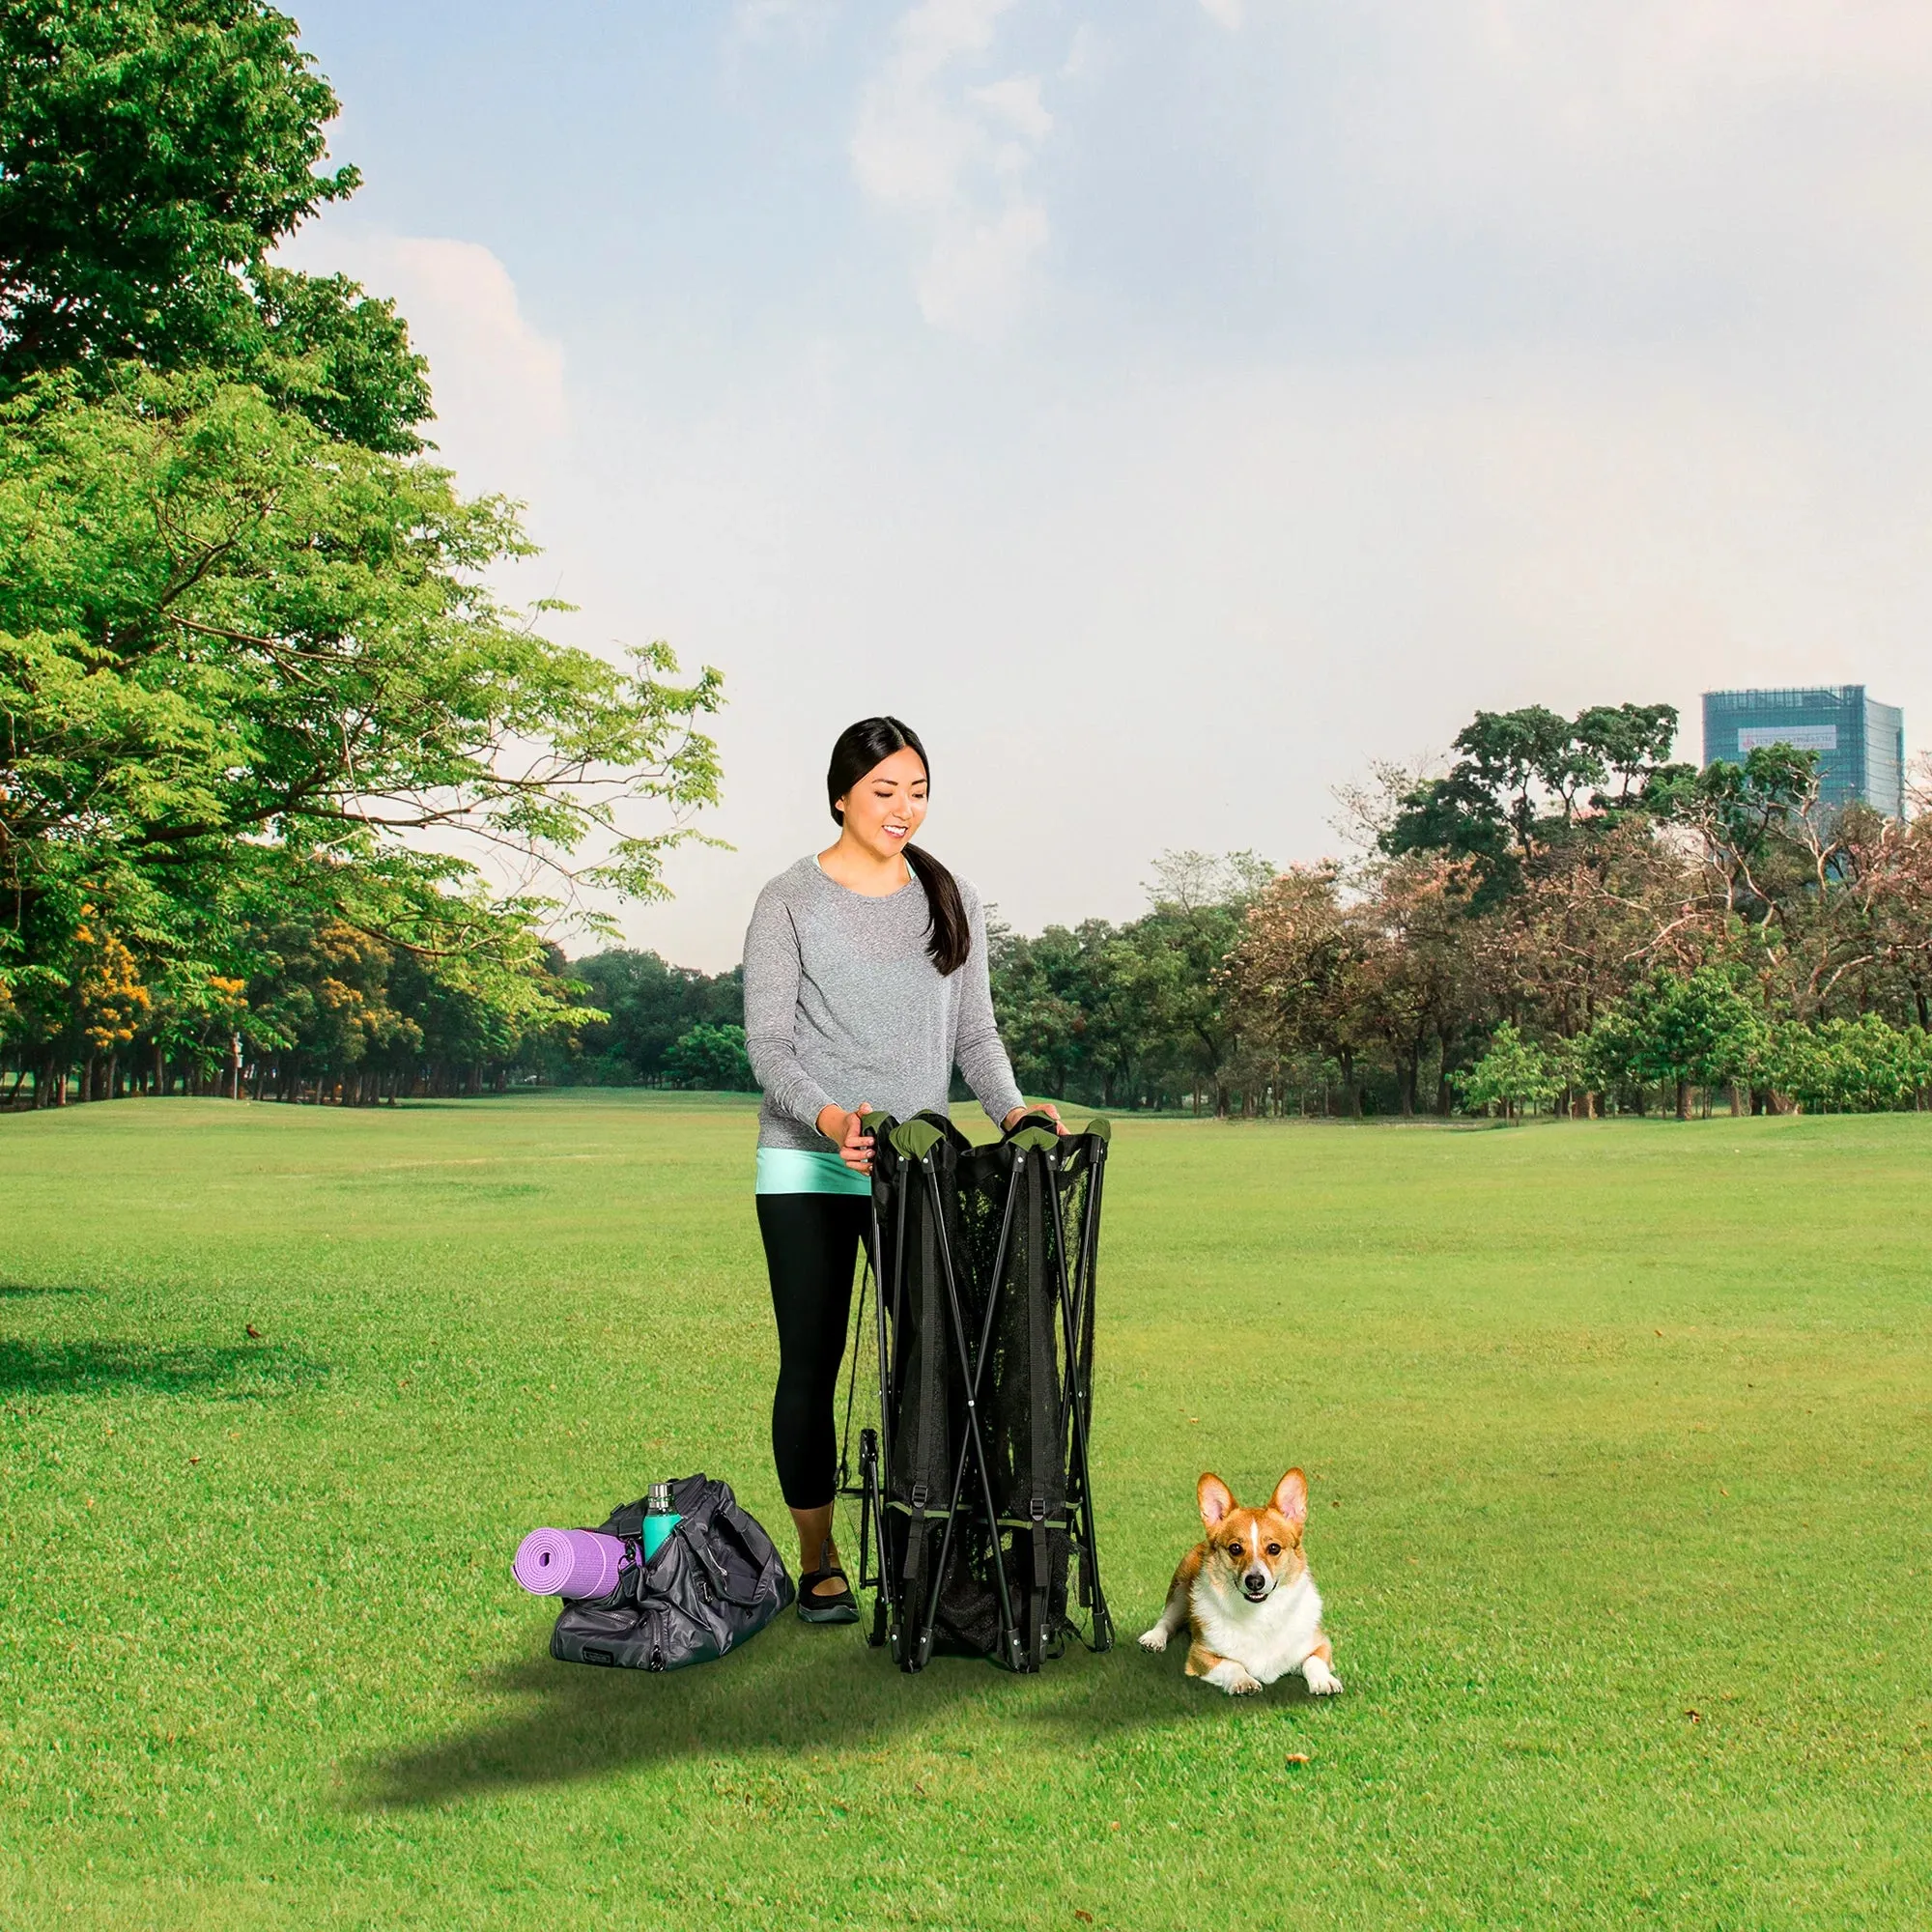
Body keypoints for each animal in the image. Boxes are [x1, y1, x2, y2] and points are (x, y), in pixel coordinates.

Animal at [1128, 1468, 1345, 1700]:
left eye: (1274, 1548)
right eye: (1235, 1548)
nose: (1255, 1581)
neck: (1260, 1614)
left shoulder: (1320, 1644)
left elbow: (1313, 1661)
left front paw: (1325, 1681)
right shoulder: (1200, 1654)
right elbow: (1232, 1664)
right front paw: (1244, 1681)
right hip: (1180, 1588)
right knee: (1167, 1619)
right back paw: (1153, 1639)